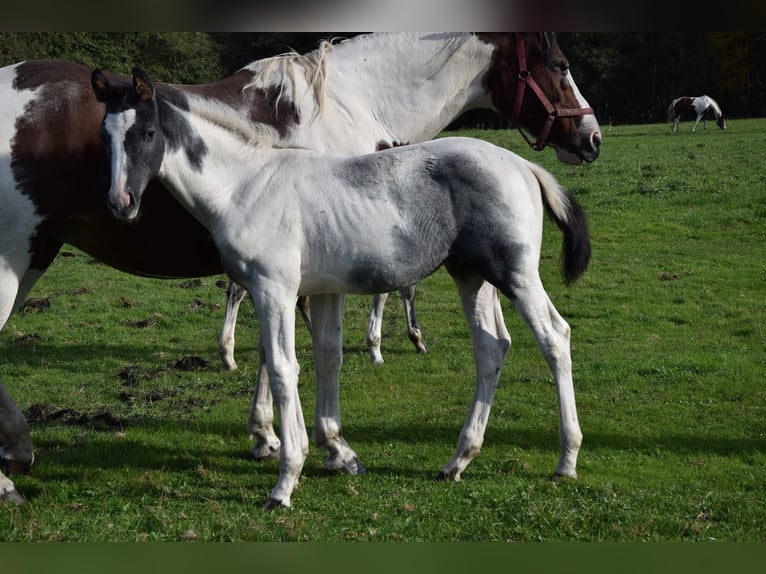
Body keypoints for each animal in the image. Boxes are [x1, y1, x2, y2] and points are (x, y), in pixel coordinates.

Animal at [0, 33, 604, 506]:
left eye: (146, 134)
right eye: (104, 136)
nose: (121, 203)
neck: (246, 181)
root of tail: (522, 164)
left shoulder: (279, 288)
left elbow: (289, 366)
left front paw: (288, 474)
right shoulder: (308, 288)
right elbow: (311, 359)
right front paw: (318, 450)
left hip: (509, 274)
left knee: (552, 336)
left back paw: (564, 460)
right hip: (472, 275)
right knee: (494, 348)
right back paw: (460, 460)